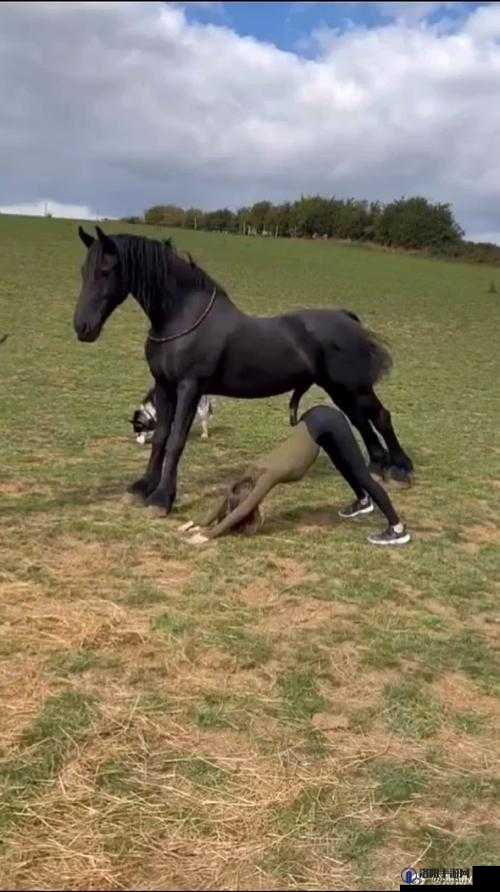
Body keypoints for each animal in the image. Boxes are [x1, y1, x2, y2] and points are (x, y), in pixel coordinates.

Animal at [74, 226, 413, 515]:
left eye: (105, 271)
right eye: (83, 271)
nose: (83, 327)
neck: (182, 318)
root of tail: (347, 318)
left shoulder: (189, 387)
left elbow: (176, 441)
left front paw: (162, 499)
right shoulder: (164, 386)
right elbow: (160, 438)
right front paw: (143, 488)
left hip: (354, 387)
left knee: (380, 417)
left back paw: (401, 468)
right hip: (339, 389)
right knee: (361, 421)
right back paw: (378, 467)